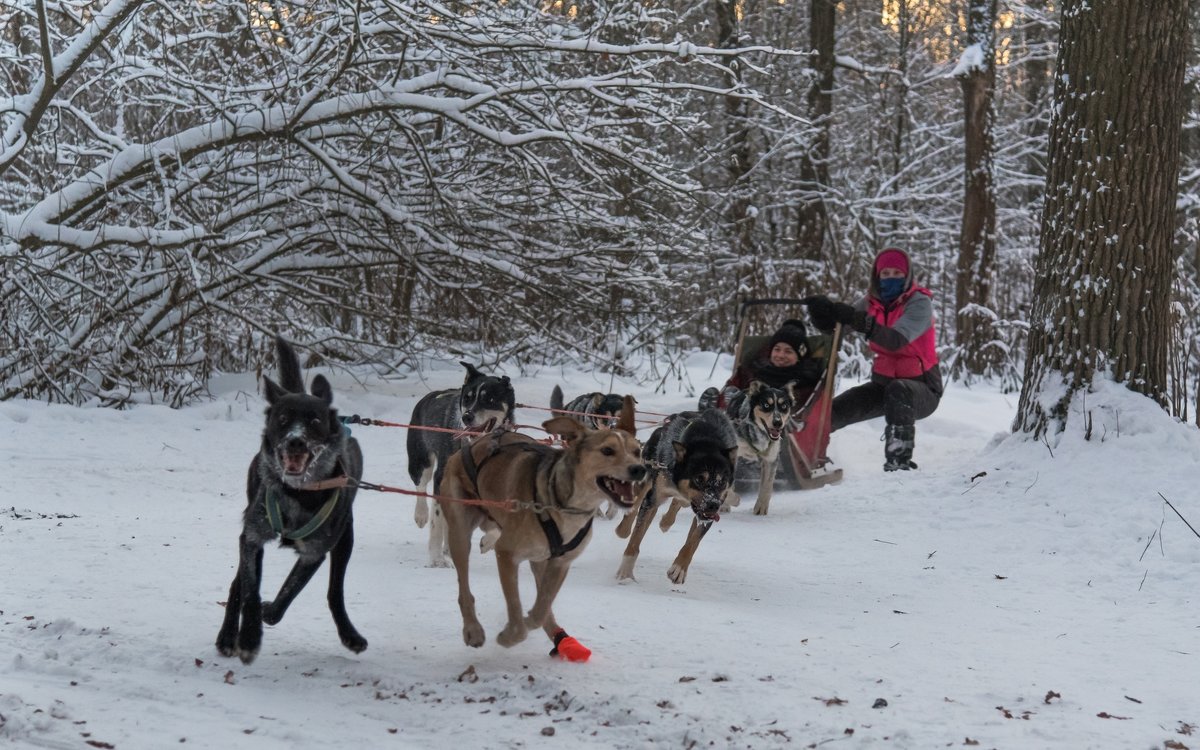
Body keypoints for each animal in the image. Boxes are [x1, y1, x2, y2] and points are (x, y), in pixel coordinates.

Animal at [216, 336, 364, 662]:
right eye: (283, 419)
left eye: (315, 421)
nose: (295, 441)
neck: (298, 493)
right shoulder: (253, 537)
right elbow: (249, 590)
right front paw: (248, 637)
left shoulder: (314, 552)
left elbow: (287, 594)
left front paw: (267, 612)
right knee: (237, 584)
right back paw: (227, 636)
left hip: (345, 539)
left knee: (335, 592)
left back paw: (350, 634)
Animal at [408, 360, 516, 564]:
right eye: (467, 398)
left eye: (490, 400)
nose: (467, 416)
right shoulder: (441, 478)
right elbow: (436, 521)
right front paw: (436, 558)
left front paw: (488, 541)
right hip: (420, 461)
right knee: (420, 487)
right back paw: (421, 514)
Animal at [439, 396, 648, 657]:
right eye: (607, 451)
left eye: (637, 452)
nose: (639, 469)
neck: (564, 503)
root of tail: (476, 443)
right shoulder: (507, 554)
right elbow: (516, 607)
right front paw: (510, 634)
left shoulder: (560, 563)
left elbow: (541, 607)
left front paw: (530, 621)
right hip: (460, 531)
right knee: (464, 588)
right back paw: (473, 630)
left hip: (537, 557)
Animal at [619, 405, 739, 583]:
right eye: (699, 478)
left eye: (722, 481)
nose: (713, 504)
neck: (706, 440)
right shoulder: (653, 498)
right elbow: (636, 536)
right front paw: (626, 570)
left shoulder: (708, 514)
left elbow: (693, 542)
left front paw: (679, 568)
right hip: (648, 475)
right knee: (636, 503)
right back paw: (624, 528)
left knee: (678, 502)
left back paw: (666, 522)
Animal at [720, 379, 796, 513]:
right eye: (766, 405)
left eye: (784, 406)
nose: (778, 422)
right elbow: (727, 486)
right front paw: (730, 502)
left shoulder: (770, 460)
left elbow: (767, 487)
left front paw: (761, 508)